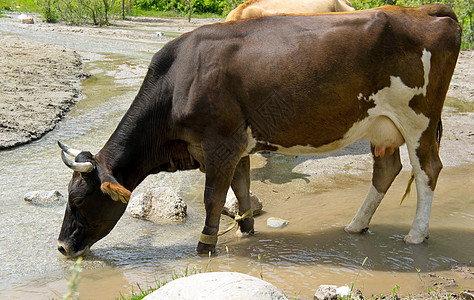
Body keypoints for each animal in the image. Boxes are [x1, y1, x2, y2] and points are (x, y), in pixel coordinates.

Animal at [56, 4, 460, 256]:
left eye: (78, 201)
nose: (62, 247)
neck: (177, 81)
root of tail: (427, 10)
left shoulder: (219, 144)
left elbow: (214, 197)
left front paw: (205, 247)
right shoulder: (238, 145)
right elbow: (242, 189)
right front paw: (246, 232)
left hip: (418, 120)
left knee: (428, 171)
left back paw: (415, 235)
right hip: (382, 127)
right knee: (387, 170)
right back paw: (355, 226)